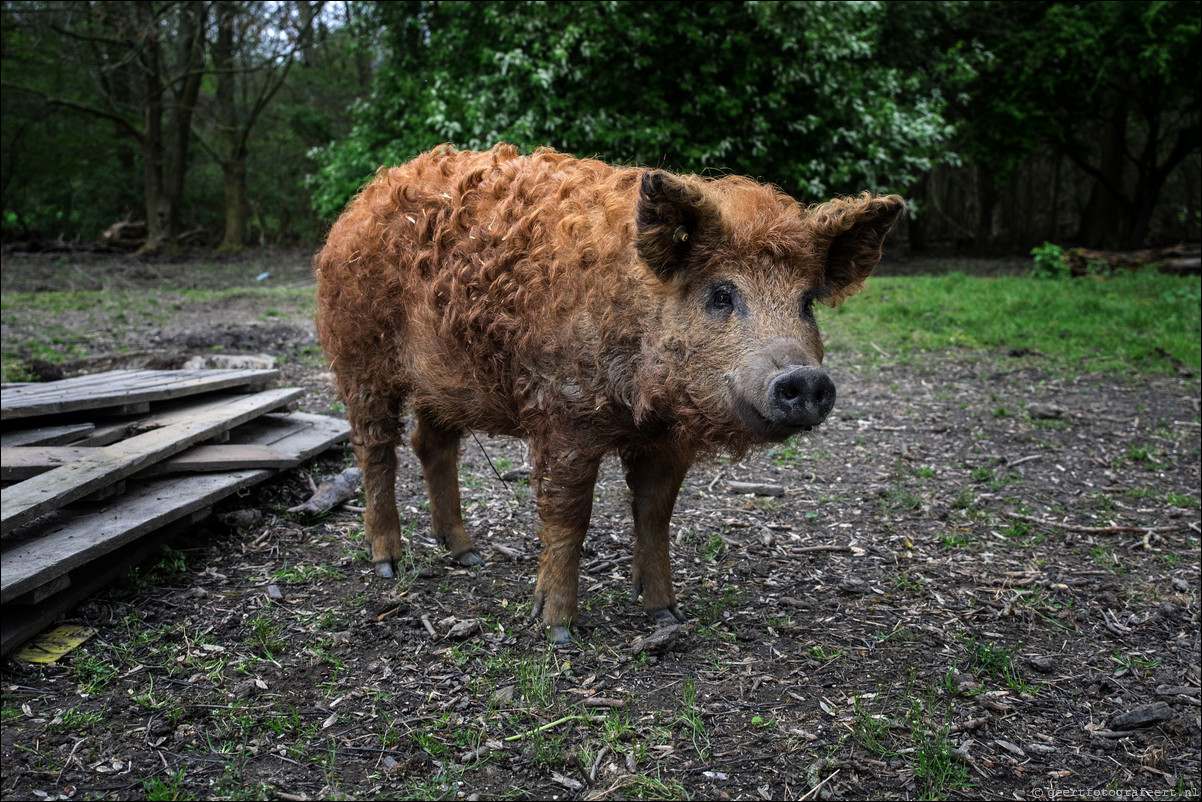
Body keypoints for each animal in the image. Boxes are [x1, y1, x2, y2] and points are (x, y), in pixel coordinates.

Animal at [317, 144, 903, 644]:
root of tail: (365, 197)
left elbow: (655, 515)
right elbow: (569, 516)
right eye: (721, 295)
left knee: (432, 445)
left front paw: (667, 615)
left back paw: (468, 556)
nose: (806, 379)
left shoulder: (667, 442)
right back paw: (388, 565)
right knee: (375, 449)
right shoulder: (563, 418)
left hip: (444, 381)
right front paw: (557, 630)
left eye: (807, 303)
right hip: (360, 356)